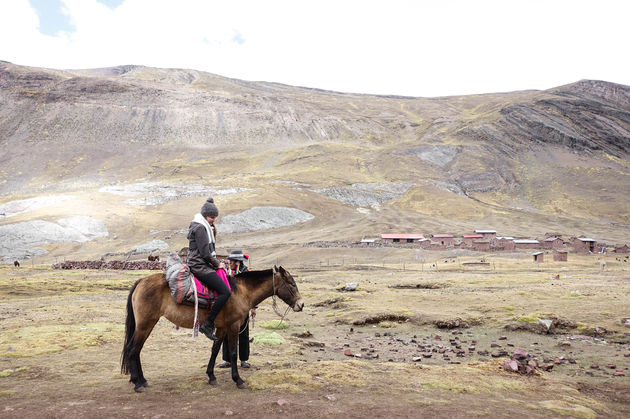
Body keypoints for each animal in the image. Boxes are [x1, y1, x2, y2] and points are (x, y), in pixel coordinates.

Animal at [121, 268, 306, 392]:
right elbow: (232, 352)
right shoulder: (234, 325)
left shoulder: (222, 327)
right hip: (145, 324)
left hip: (146, 325)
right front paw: (238, 380)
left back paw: (142, 380)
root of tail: (140, 281)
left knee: (136, 350)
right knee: (132, 349)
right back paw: (137, 383)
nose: (301, 304)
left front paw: (211, 376)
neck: (241, 291)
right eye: (292, 284)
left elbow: (215, 350)